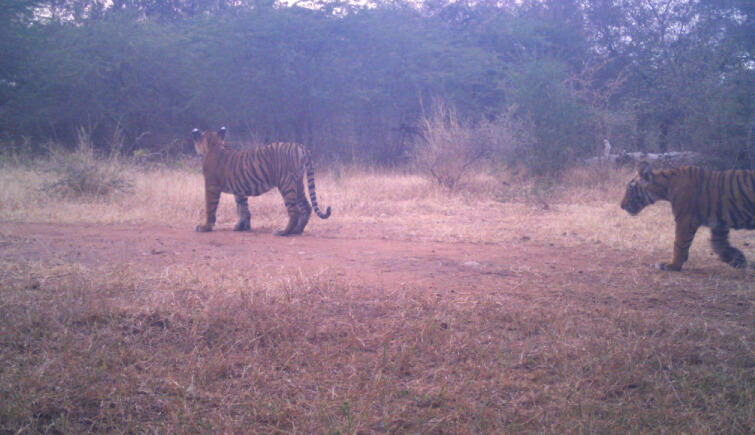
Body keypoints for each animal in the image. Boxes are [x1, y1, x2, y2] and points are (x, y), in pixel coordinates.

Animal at [190, 126, 330, 237]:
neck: (214, 144)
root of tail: (300, 146)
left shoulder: (211, 187)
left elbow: (210, 207)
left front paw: (205, 227)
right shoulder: (239, 190)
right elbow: (242, 208)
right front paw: (241, 226)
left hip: (286, 184)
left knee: (295, 210)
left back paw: (283, 232)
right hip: (298, 184)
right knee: (306, 207)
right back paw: (297, 230)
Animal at [624, 163, 752, 270]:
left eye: (630, 189)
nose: (621, 205)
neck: (665, 186)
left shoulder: (685, 219)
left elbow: (679, 244)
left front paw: (672, 265)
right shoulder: (719, 223)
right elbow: (718, 244)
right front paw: (738, 259)